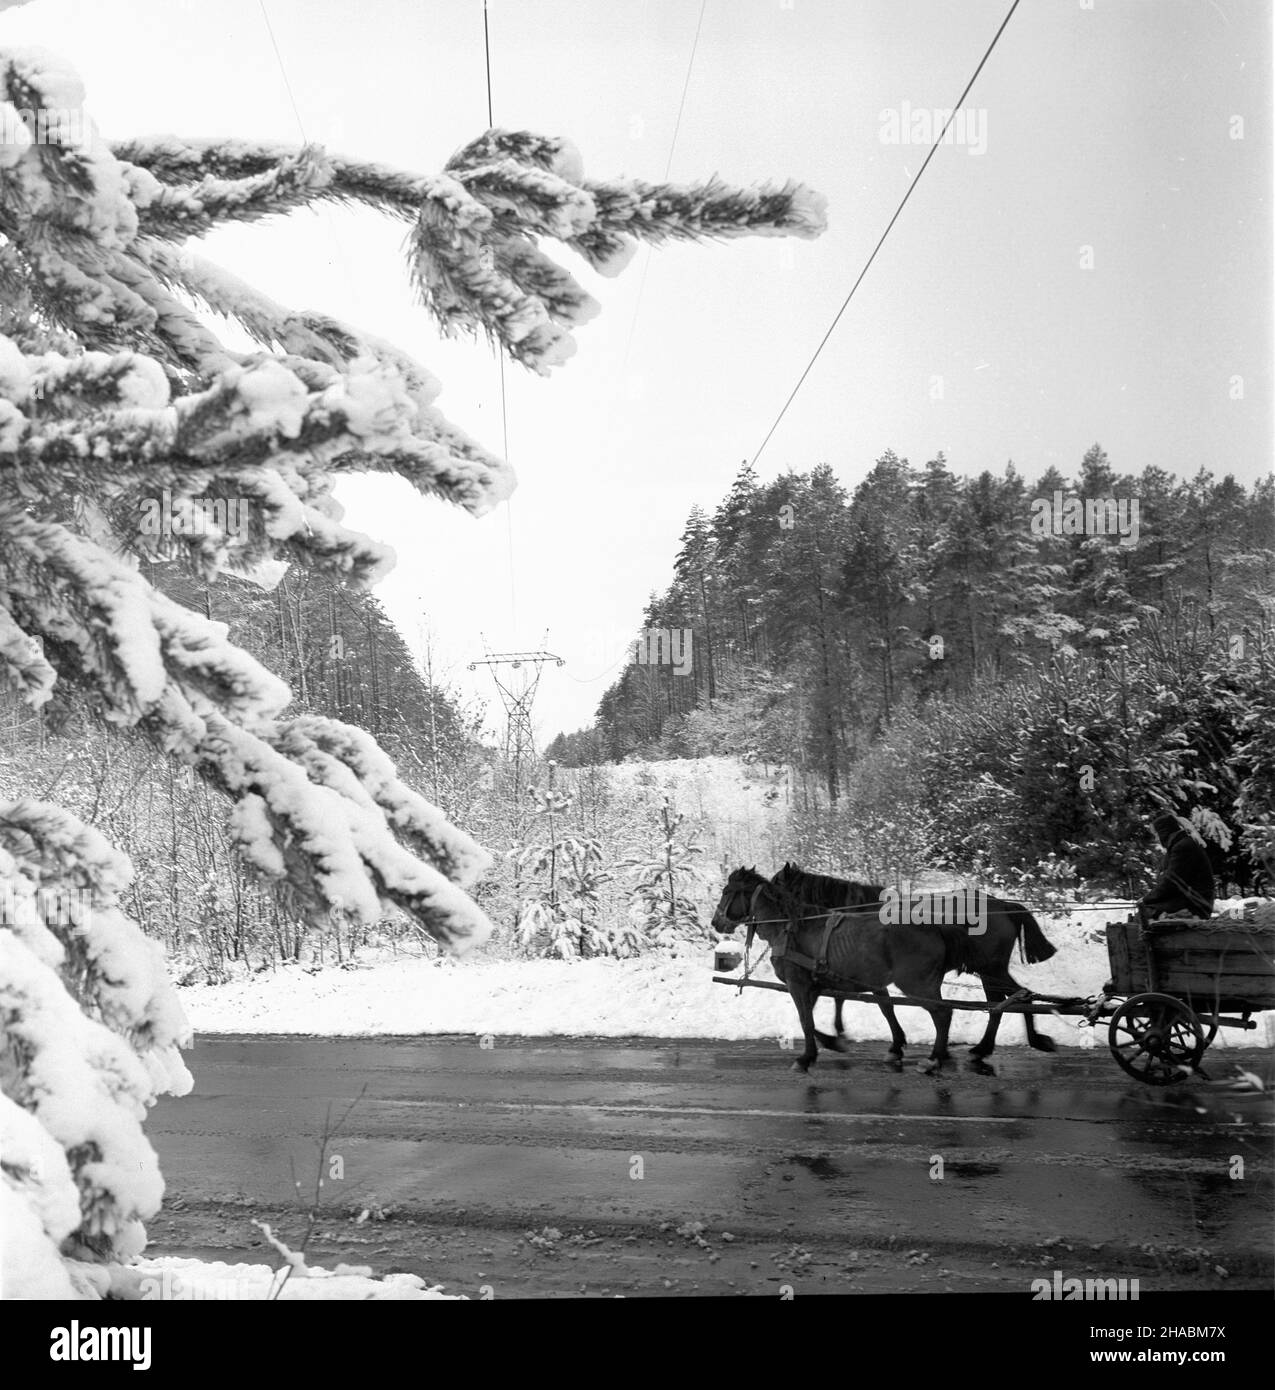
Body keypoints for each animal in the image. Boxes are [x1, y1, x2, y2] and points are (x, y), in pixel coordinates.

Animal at [711, 867, 962, 1073]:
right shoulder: (815, 984)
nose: (715, 922)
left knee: (943, 1014)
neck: (790, 927)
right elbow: (813, 1017)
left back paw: (935, 1058)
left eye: (726, 891)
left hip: (917, 983)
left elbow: (807, 1020)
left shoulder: (797, 984)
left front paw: (807, 1057)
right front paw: (832, 1041)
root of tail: (933, 927)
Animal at [773, 856, 1062, 1073]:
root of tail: (1003, 904)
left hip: (991, 969)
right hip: (989, 970)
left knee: (1011, 999)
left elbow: (876, 1005)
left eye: (776, 885)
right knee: (1009, 999)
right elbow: (852, 1000)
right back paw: (991, 1047)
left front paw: (845, 1037)